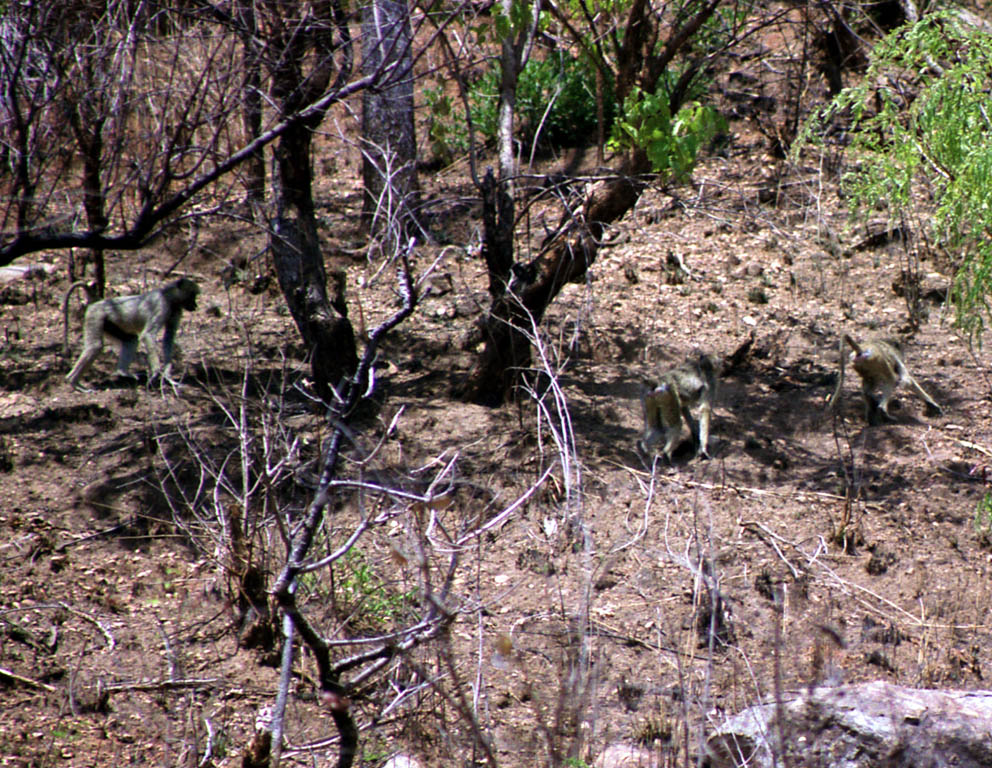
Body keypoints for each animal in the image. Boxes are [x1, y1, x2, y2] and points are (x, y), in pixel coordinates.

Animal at [64, 278, 200, 392]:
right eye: (192, 295)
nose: (195, 305)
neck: (168, 297)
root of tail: (98, 302)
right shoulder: (161, 305)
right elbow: (148, 335)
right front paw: (156, 372)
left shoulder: (176, 309)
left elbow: (168, 338)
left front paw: (167, 375)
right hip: (95, 315)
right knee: (95, 346)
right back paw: (73, 382)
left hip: (108, 323)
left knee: (131, 340)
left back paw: (123, 372)